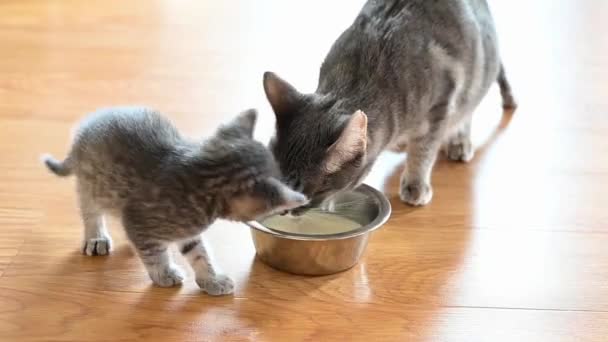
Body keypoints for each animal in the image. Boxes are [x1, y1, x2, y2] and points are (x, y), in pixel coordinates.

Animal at [43, 108, 308, 296]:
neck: (201, 178)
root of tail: (84, 129)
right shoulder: (139, 218)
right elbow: (154, 253)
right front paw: (164, 273)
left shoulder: (186, 231)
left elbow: (199, 253)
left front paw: (211, 279)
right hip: (91, 185)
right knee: (90, 211)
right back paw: (95, 236)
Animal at [264, 0, 516, 211]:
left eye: (306, 193)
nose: (282, 209)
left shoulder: (441, 103)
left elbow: (424, 150)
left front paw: (416, 184)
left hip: (478, 74)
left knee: (467, 109)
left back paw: (458, 141)